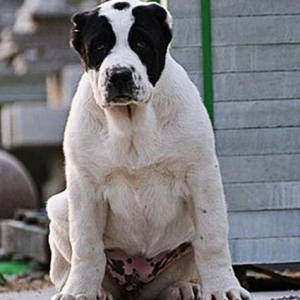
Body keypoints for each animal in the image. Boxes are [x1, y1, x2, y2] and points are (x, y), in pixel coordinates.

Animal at [47, 0, 253, 300]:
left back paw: (182, 288)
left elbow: (211, 240)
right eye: (99, 46)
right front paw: (79, 292)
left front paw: (223, 288)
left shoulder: (201, 177)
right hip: (59, 207)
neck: (132, 122)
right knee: (66, 266)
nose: (119, 74)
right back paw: (96, 291)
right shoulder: (84, 186)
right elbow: (86, 245)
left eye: (141, 43)